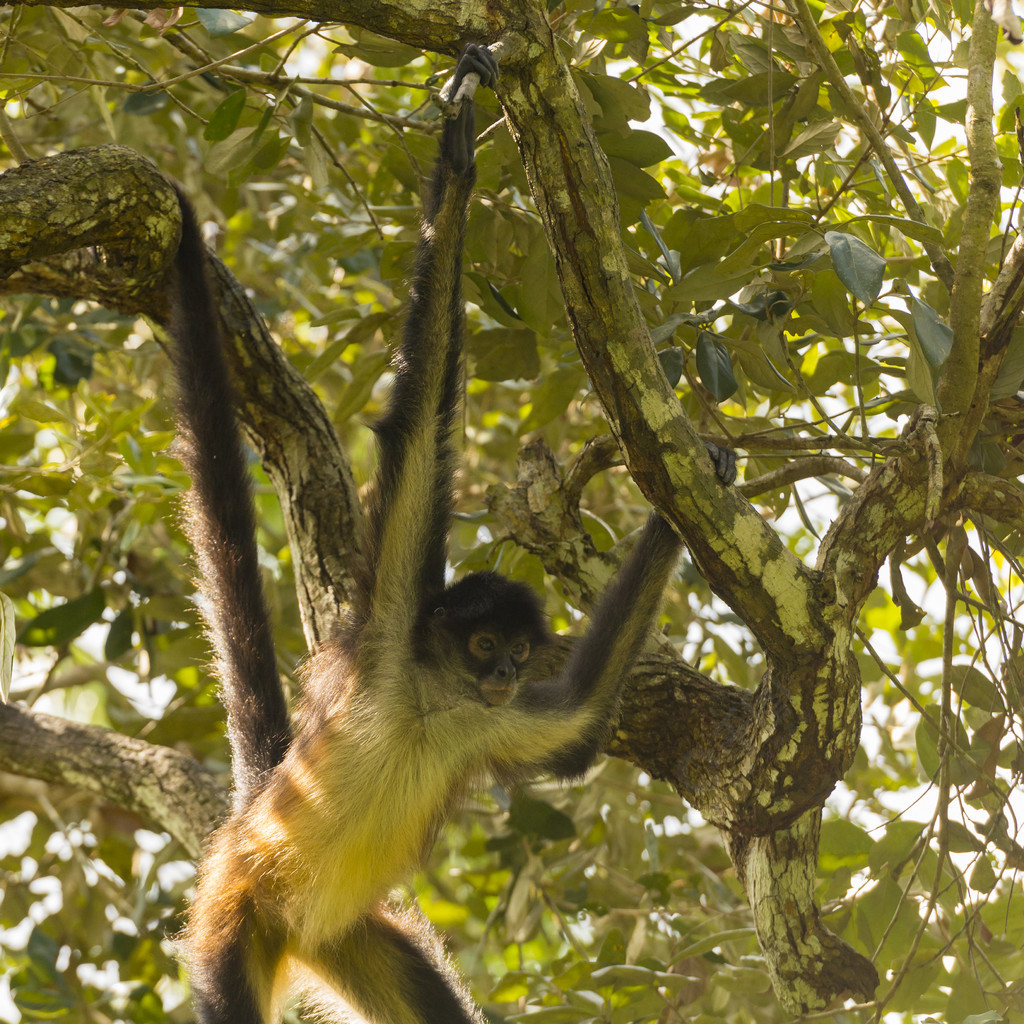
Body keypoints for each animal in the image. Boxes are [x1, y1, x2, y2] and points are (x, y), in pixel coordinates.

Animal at [167, 44, 733, 1024]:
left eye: (516, 651)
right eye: (483, 644)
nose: (504, 673)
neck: (432, 705)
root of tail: (245, 829)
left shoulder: (482, 727)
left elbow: (579, 731)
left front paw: (679, 493)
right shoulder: (390, 630)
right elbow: (420, 418)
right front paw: (459, 157)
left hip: (344, 935)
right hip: (235, 920)